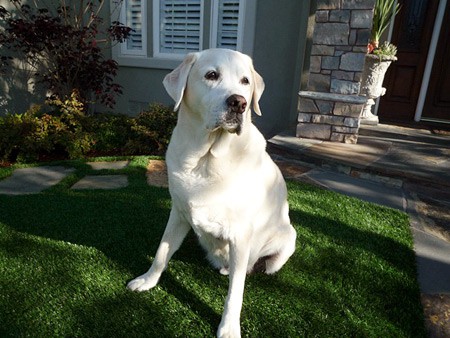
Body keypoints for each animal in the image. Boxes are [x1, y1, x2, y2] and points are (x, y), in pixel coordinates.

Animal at [126, 49, 298, 338]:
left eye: (245, 81)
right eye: (211, 75)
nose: (239, 103)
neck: (205, 159)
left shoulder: (241, 236)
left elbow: (235, 293)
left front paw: (228, 328)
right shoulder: (178, 214)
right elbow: (161, 253)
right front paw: (147, 280)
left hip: (286, 241)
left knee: (256, 268)